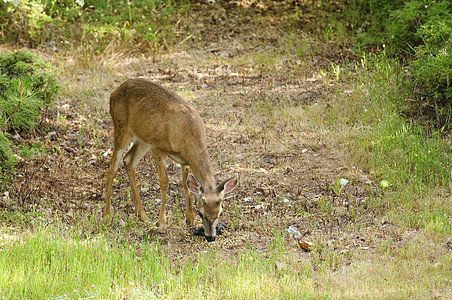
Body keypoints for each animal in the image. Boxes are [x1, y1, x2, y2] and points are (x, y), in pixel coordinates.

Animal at [101, 77, 237, 241]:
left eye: (220, 213)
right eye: (201, 213)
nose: (210, 237)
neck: (188, 137)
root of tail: (115, 91)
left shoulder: (185, 161)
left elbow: (185, 184)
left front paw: (190, 220)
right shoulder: (158, 148)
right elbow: (165, 182)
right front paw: (162, 224)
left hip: (143, 139)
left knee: (128, 160)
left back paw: (142, 215)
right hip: (121, 128)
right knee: (113, 166)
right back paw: (107, 214)